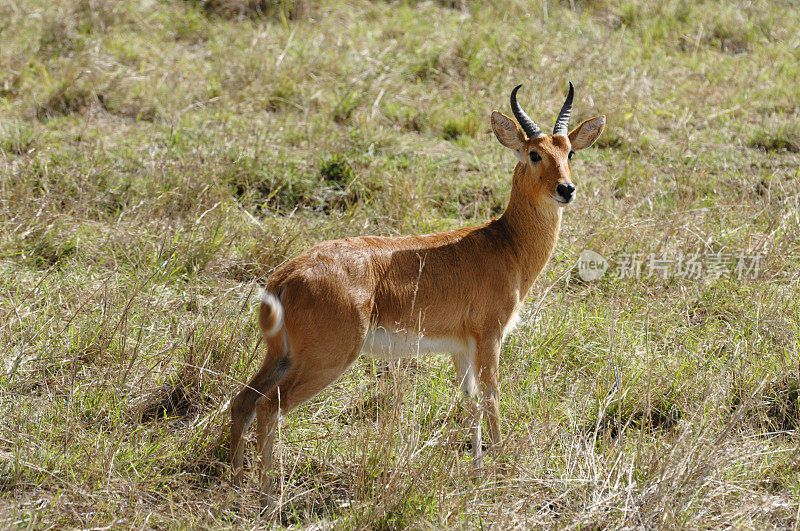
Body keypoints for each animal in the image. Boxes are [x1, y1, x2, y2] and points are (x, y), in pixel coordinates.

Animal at [231, 81, 608, 504]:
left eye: (569, 151)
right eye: (534, 153)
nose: (566, 189)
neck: (504, 243)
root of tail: (284, 277)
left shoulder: (461, 348)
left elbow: (470, 402)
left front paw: (478, 469)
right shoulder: (490, 336)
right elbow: (492, 396)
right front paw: (502, 469)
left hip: (282, 356)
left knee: (242, 402)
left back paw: (233, 483)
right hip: (326, 360)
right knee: (268, 409)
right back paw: (267, 498)